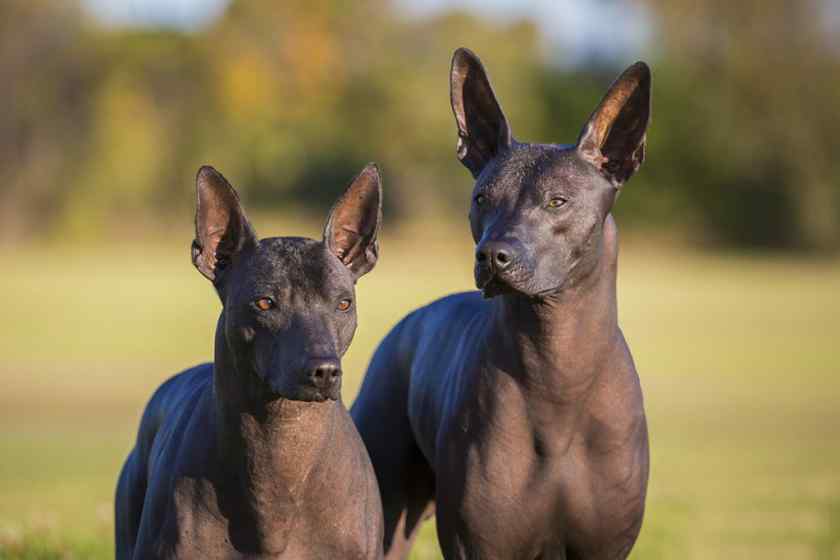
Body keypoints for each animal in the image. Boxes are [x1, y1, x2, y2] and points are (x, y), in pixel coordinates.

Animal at [352, 49, 652, 560]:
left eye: (557, 201)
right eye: (481, 198)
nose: (492, 255)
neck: (559, 373)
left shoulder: (605, 548)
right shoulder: (478, 546)